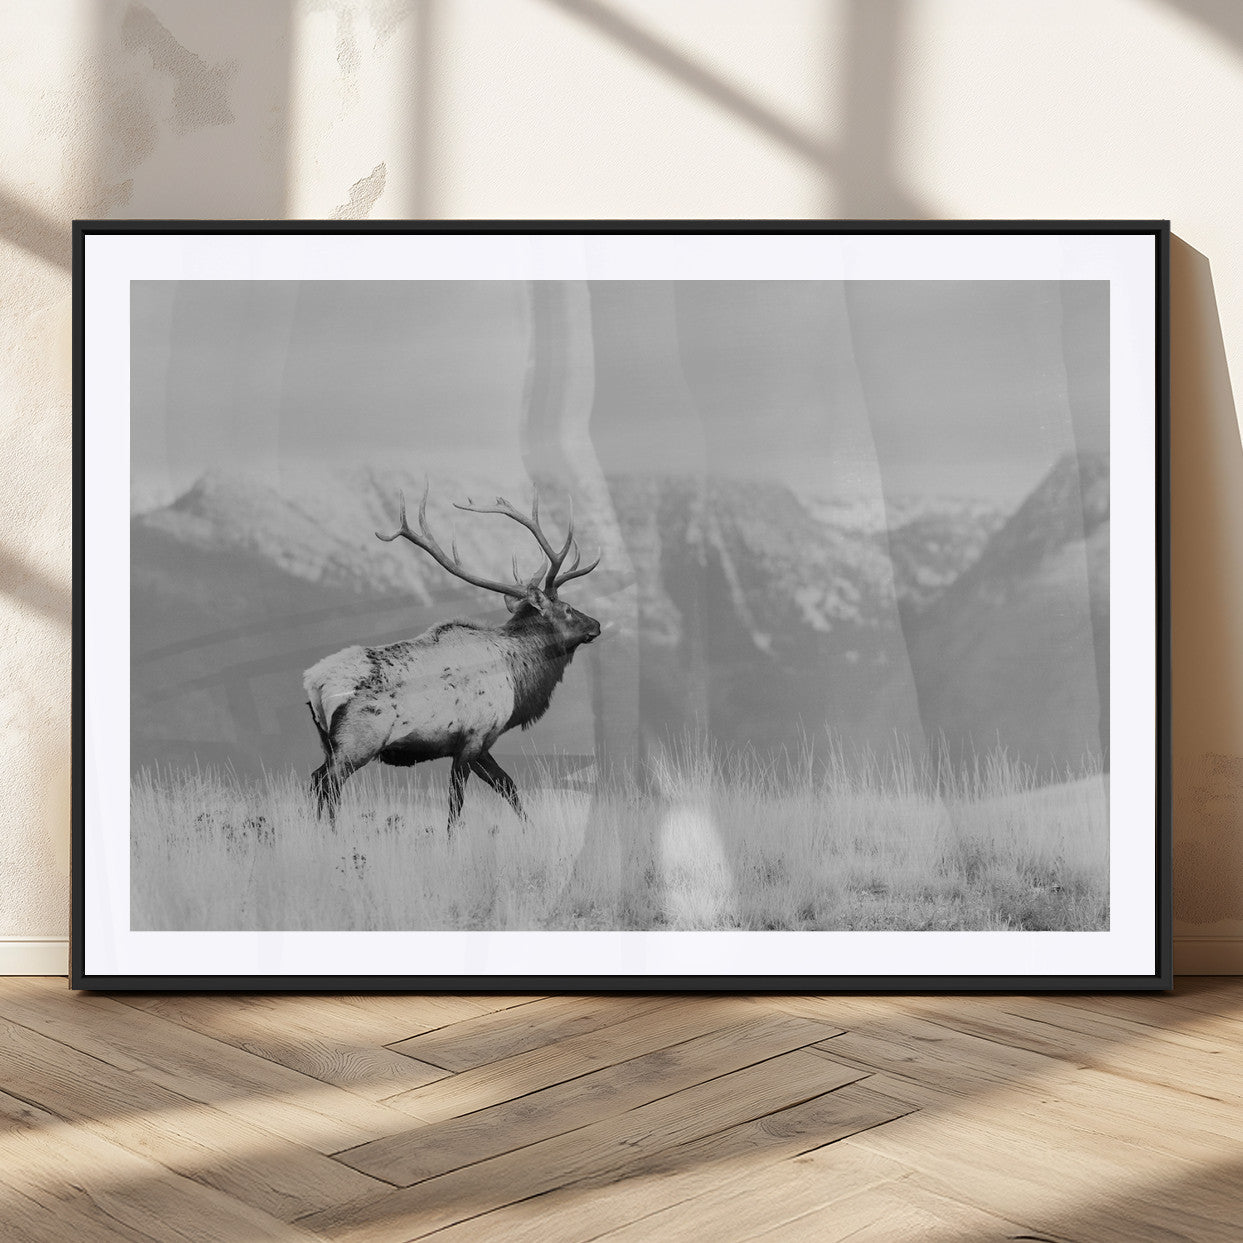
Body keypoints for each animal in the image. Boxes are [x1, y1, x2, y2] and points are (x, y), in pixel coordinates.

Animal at [303, 484, 603, 830]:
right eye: (567, 609)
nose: (596, 624)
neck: (517, 678)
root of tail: (313, 683)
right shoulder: (473, 737)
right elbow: (456, 805)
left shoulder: (482, 744)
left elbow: (509, 787)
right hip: (358, 741)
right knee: (326, 783)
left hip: (330, 744)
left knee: (317, 779)